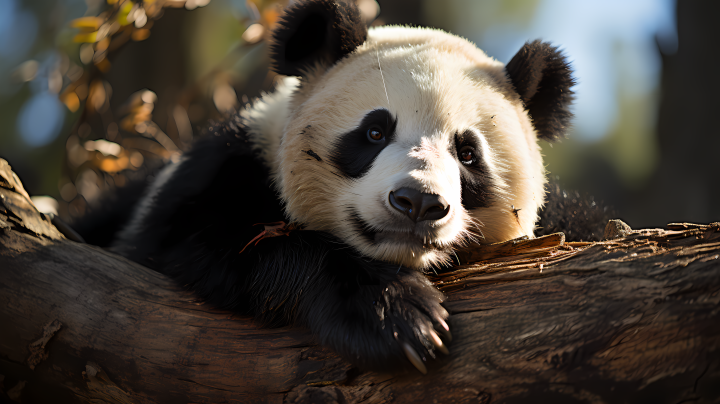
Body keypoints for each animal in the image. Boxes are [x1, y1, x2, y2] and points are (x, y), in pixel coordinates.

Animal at [102, 0, 572, 374]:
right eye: (375, 132)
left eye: (468, 154)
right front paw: (395, 316)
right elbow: (198, 240)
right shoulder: (224, 169)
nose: (418, 202)